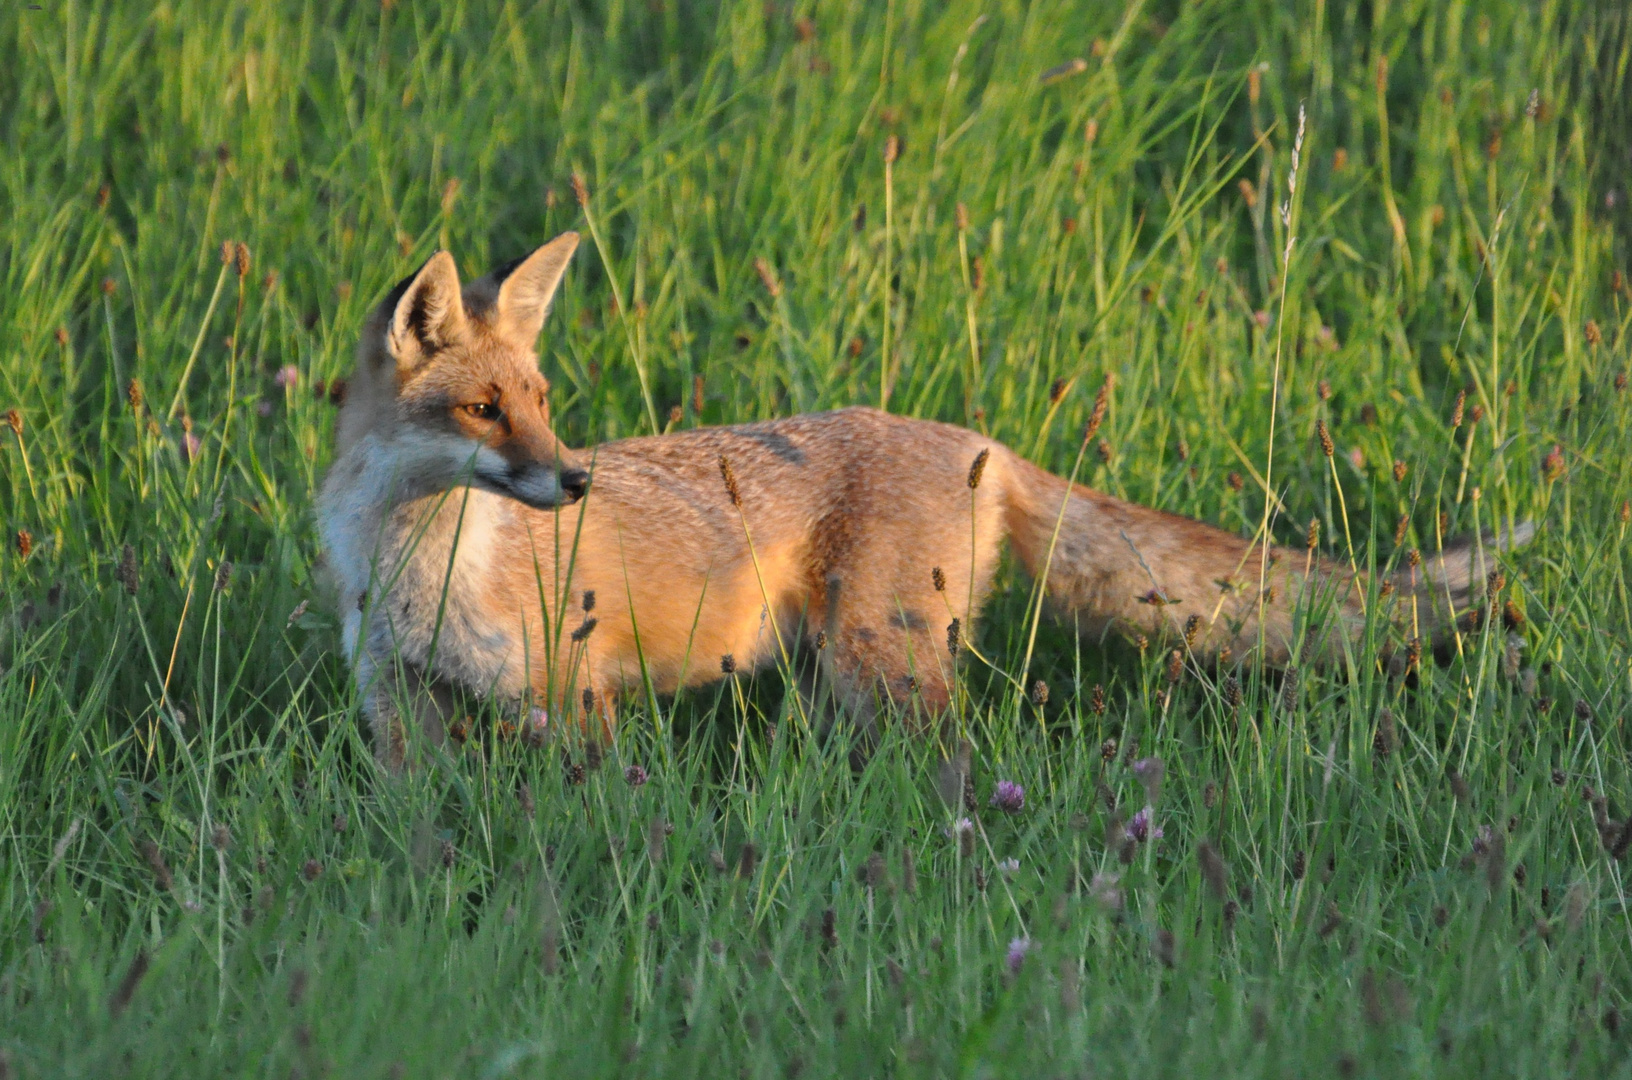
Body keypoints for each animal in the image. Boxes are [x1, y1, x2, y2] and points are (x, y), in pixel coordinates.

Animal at [314, 230, 1527, 770]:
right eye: (484, 412)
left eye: (542, 403)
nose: (575, 481)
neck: (419, 572)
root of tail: (979, 440)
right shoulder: (395, 701)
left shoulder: (573, 698)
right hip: (856, 669)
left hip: (881, 664)